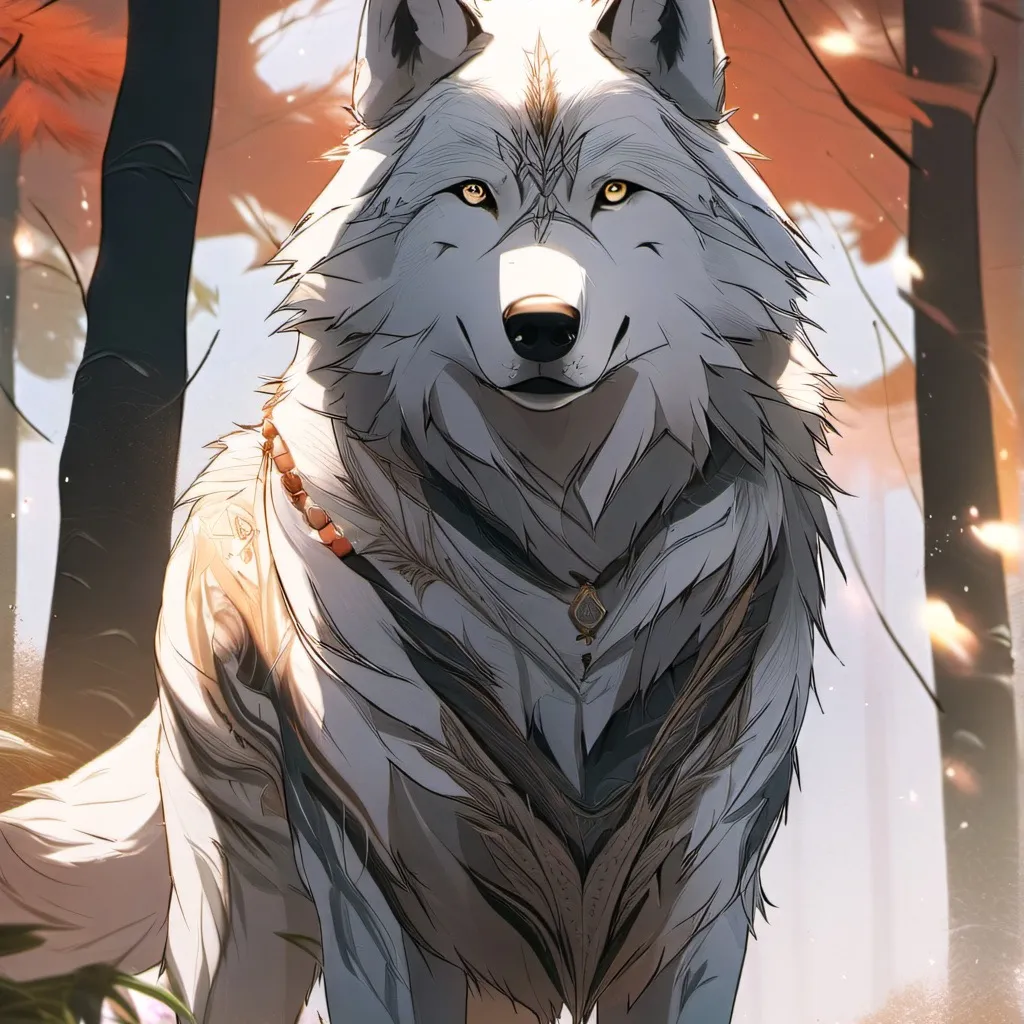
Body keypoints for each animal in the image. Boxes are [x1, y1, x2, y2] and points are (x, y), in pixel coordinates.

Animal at [0, 1, 838, 1021]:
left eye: (615, 194)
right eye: (473, 195)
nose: (542, 326)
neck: (565, 556)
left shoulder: (697, 900)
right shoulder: (388, 889)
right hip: (250, 924)